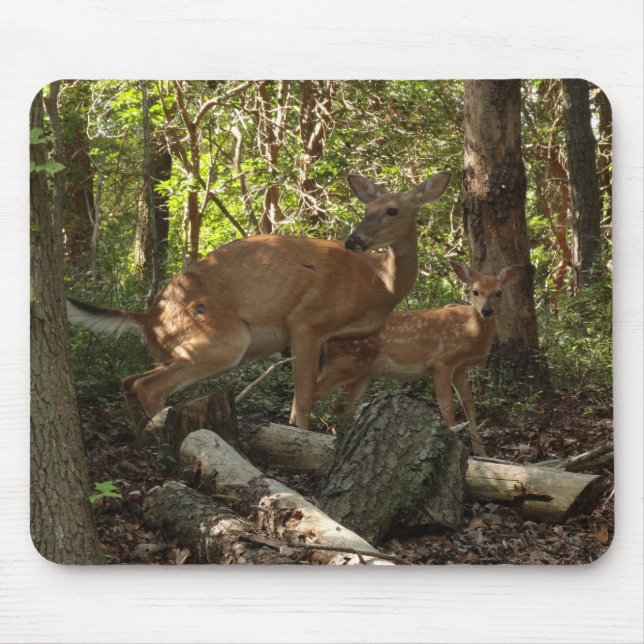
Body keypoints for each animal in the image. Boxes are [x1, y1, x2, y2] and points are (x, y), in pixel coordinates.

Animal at [66, 171, 452, 431]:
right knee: (146, 386)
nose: (353, 240)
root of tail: (148, 317)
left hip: (174, 348)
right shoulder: (307, 320)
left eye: (392, 210)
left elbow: (315, 395)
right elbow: (304, 397)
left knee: (129, 379)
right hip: (223, 339)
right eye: (367, 207)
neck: (379, 284)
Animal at [304, 261, 523, 456]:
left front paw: (482, 453)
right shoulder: (442, 362)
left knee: (341, 406)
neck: (469, 330)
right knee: (312, 395)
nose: (486, 311)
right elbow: (447, 406)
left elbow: (468, 403)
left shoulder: (459, 367)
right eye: (475, 291)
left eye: (498, 292)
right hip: (345, 363)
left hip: (362, 371)